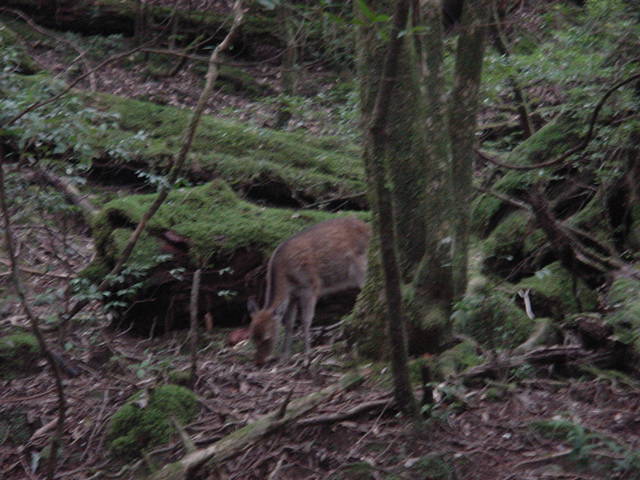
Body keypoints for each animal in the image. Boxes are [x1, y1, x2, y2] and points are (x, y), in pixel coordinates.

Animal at [248, 217, 371, 366]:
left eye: (268, 337)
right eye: (252, 337)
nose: (258, 361)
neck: (287, 278)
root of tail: (369, 228)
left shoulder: (310, 287)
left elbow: (306, 320)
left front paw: (307, 355)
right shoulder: (292, 296)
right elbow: (289, 323)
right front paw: (285, 356)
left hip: (362, 267)